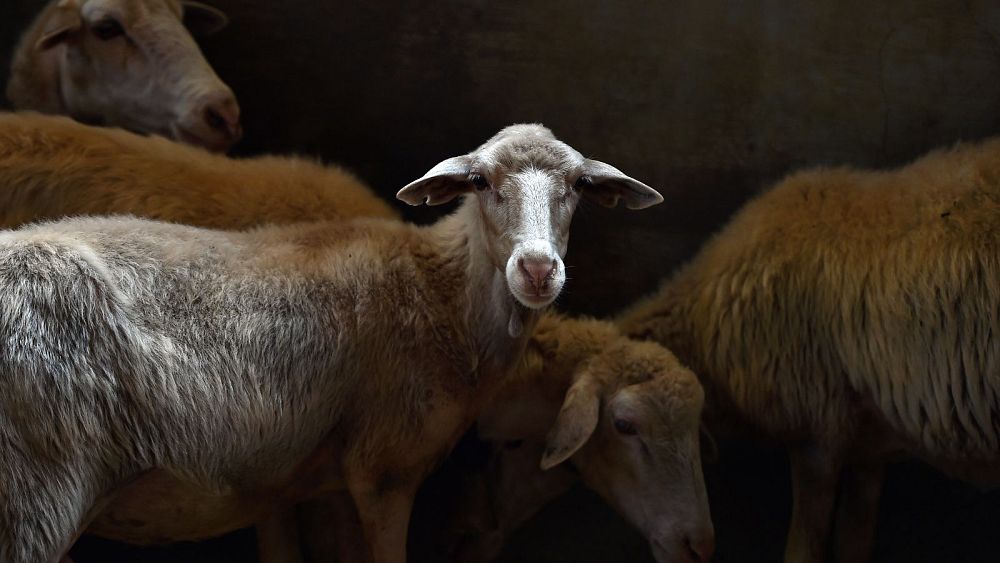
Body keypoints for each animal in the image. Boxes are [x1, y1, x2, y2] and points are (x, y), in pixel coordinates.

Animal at [0, 124, 664, 563]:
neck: (440, 292)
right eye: (478, 181)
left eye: (578, 184)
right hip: (36, 496)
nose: (537, 269)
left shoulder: (312, 482)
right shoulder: (384, 469)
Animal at [612, 138, 1000, 563]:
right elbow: (854, 544)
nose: (693, 546)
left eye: (625, 425)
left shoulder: (814, 430)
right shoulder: (868, 447)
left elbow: (803, 549)